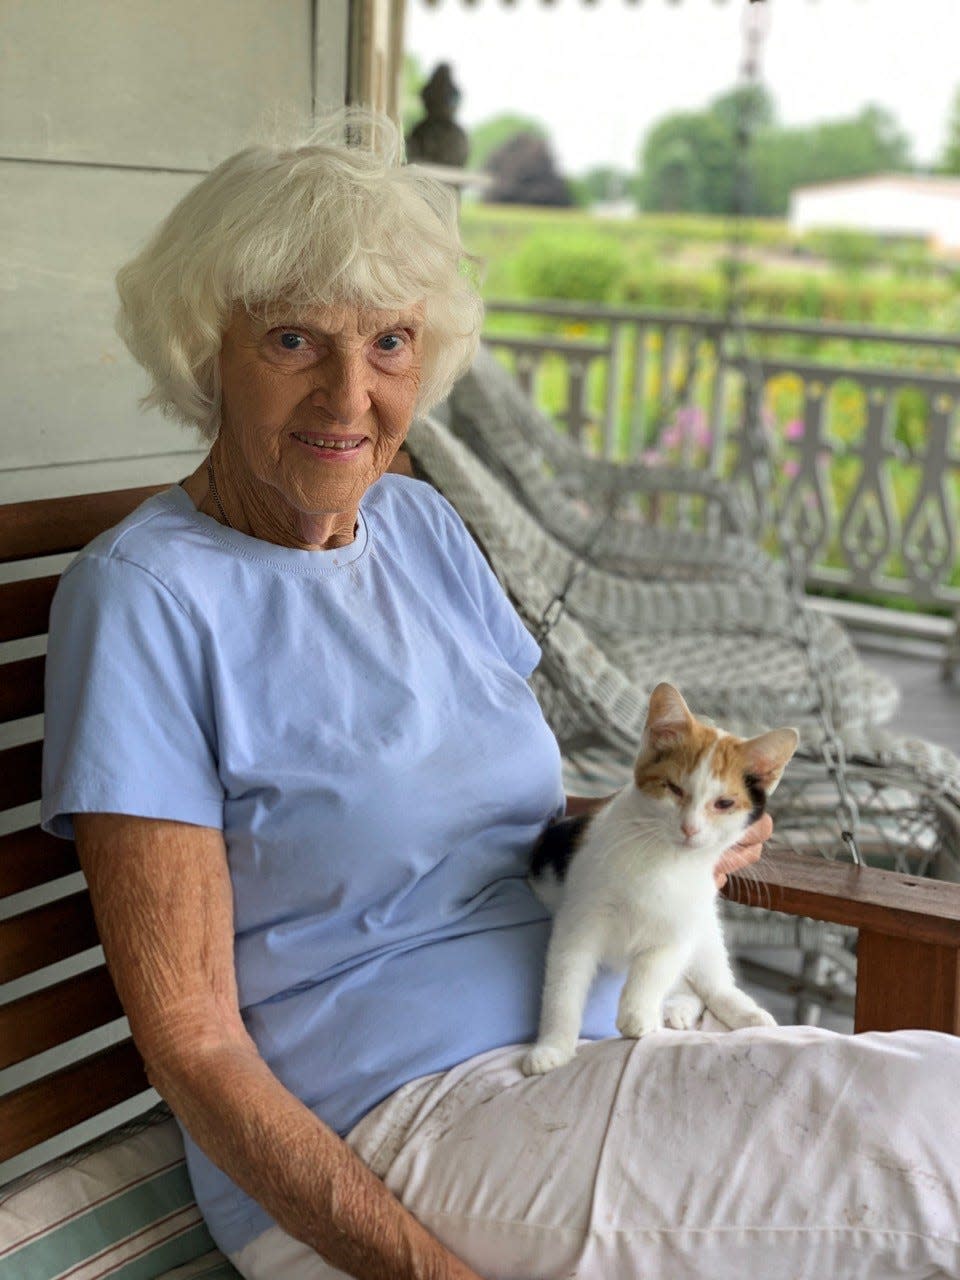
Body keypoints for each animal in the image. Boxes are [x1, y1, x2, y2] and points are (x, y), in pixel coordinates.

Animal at [522, 686, 798, 1075]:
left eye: (724, 803)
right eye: (673, 789)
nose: (690, 828)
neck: (665, 859)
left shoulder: (681, 924)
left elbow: (655, 967)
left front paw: (637, 1013)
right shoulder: (579, 919)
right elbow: (565, 985)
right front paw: (553, 1047)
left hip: (706, 927)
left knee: (711, 981)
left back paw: (742, 1012)